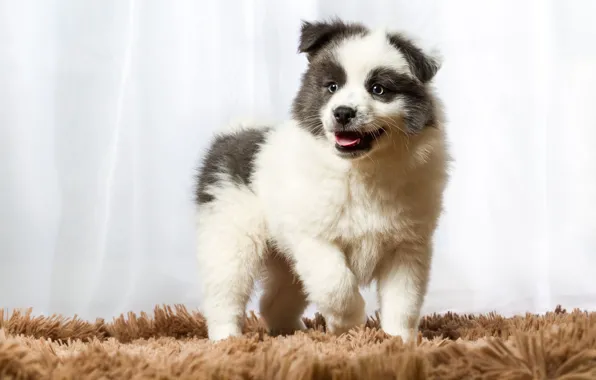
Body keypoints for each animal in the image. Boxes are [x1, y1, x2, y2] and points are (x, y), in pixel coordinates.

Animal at [193, 18, 450, 342]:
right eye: (332, 87)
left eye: (378, 89)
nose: (342, 113)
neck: (361, 169)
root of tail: (233, 134)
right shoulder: (313, 238)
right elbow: (336, 284)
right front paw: (348, 325)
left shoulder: (407, 246)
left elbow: (403, 301)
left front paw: (399, 340)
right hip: (230, 238)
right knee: (225, 293)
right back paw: (227, 339)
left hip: (285, 261)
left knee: (273, 300)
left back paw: (291, 332)